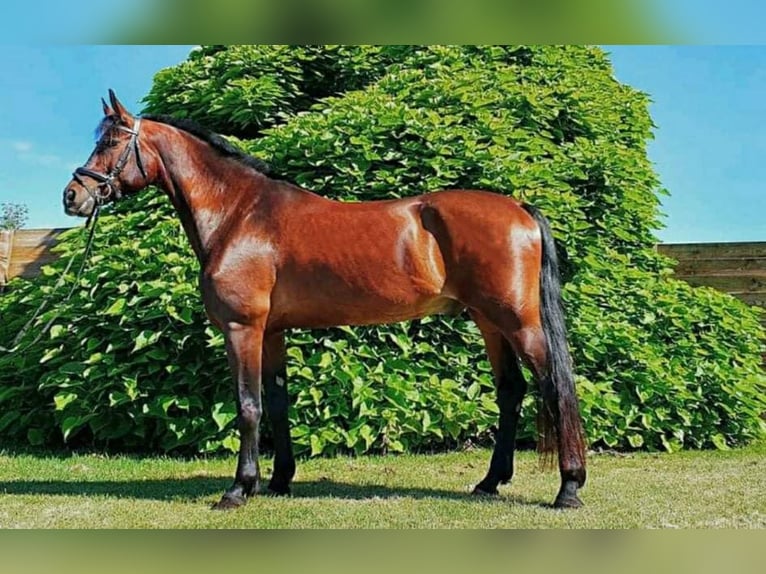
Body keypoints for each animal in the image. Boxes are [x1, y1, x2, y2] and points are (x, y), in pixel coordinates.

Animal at [63, 90, 587, 510]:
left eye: (110, 143)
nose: (72, 196)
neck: (239, 214)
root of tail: (519, 208)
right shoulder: (271, 332)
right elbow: (276, 402)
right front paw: (278, 481)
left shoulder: (242, 329)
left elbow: (247, 405)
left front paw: (238, 489)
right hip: (487, 321)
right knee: (511, 391)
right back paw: (489, 482)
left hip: (518, 322)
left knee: (556, 388)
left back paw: (569, 488)